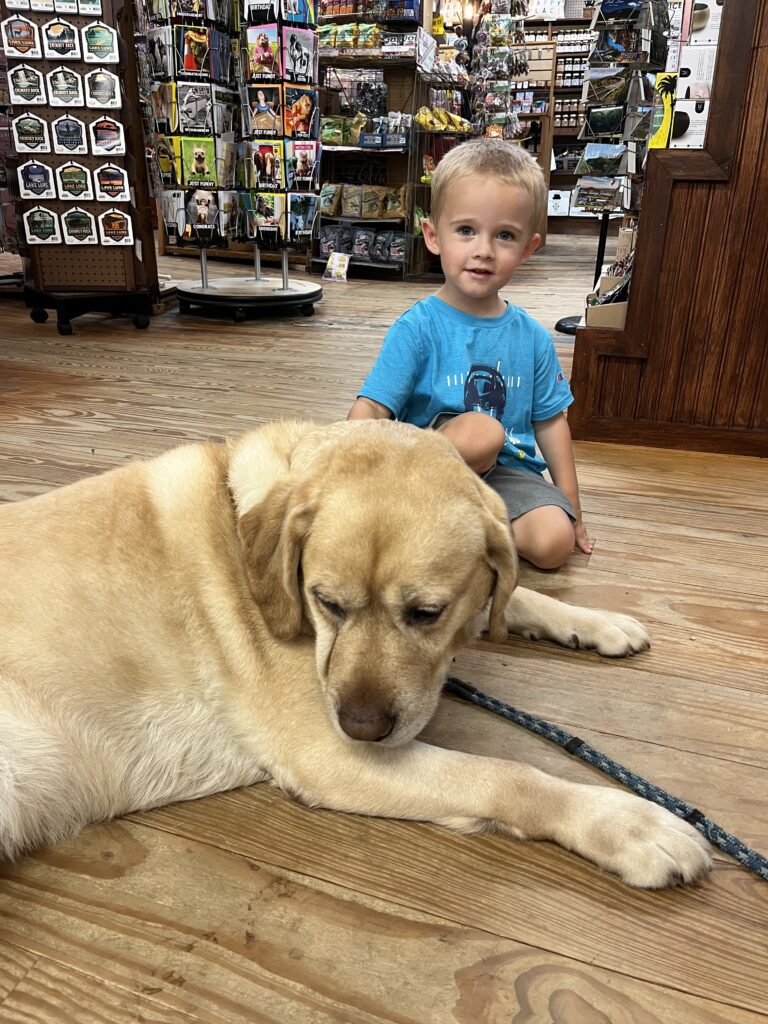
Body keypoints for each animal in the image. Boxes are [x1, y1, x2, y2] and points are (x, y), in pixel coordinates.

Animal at [0, 419, 712, 884]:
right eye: (327, 603)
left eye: (426, 613)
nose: (362, 726)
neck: (242, 517)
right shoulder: (329, 754)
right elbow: (508, 775)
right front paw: (628, 825)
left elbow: (518, 597)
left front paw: (595, 621)